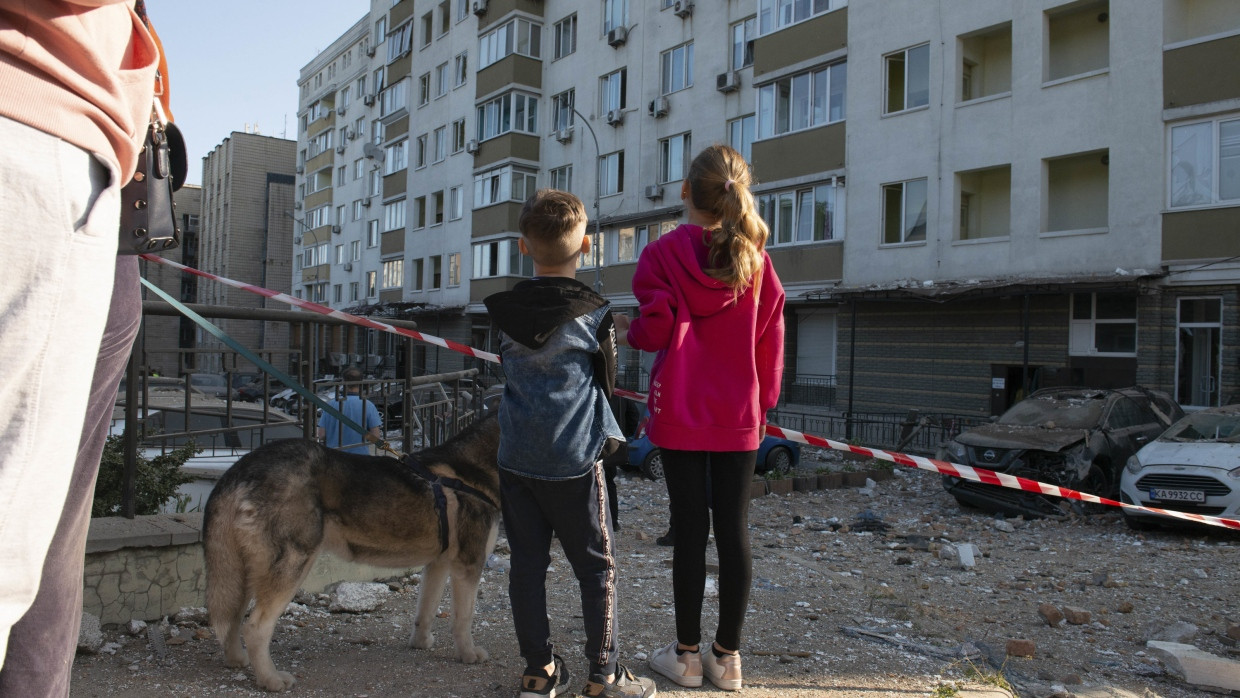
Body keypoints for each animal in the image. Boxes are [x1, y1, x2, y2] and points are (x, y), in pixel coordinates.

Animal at [203, 414, 498, 694]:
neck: (471, 470)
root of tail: (239, 470)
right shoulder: (469, 564)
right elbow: (464, 617)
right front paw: (468, 653)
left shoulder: (438, 564)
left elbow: (426, 609)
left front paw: (421, 642)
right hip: (293, 565)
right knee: (255, 628)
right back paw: (270, 679)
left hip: (240, 572)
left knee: (231, 617)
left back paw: (237, 659)